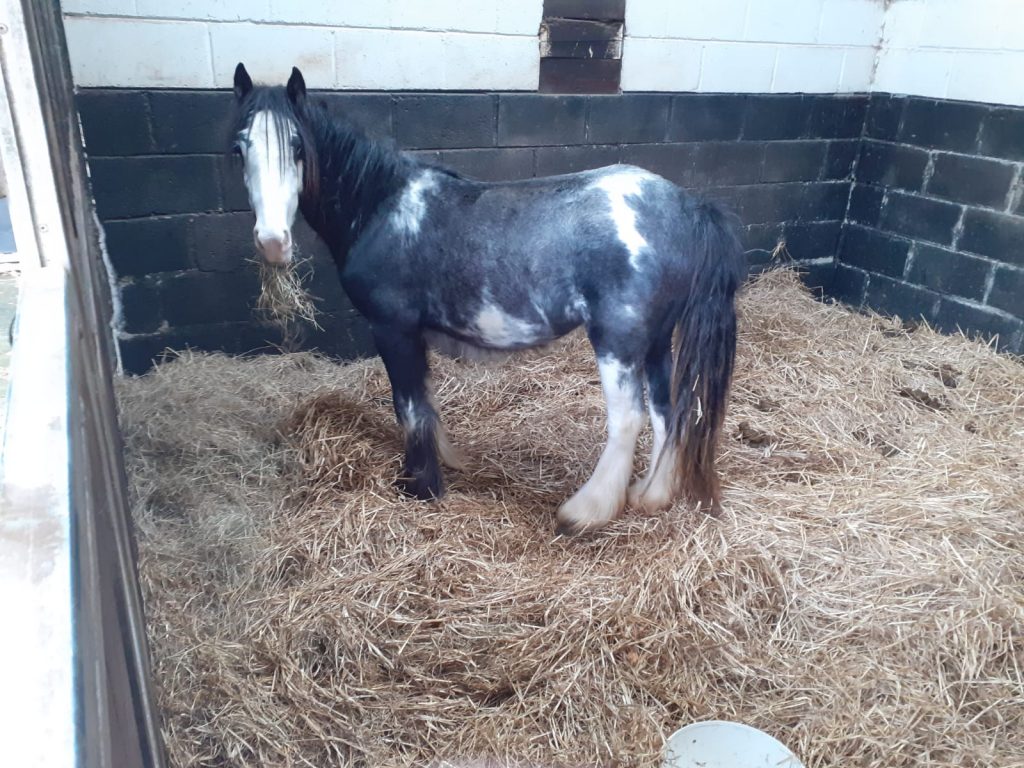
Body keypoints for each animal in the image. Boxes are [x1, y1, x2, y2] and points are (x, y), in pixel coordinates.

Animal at [230, 63, 744, 534]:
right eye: (239, 147)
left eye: (297, 146)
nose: (272, 242)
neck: (382, 209)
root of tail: (686, 207)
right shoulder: (414, 335)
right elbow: (425, 402)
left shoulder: (392, 328)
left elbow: (408, 407)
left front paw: (420, 486)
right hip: (655, 341)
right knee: (666, 412)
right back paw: (651, 496)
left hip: (618, 340)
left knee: (628, 419)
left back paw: (586, 512)